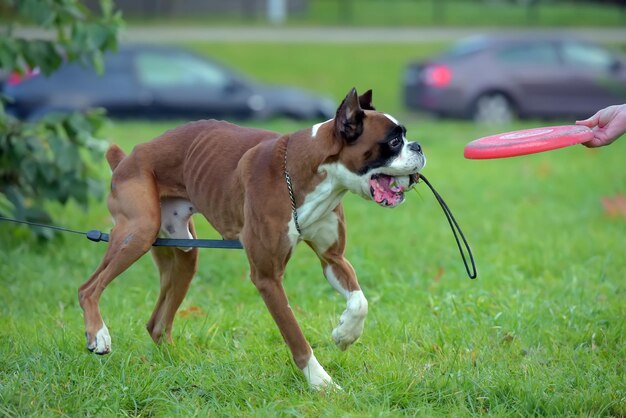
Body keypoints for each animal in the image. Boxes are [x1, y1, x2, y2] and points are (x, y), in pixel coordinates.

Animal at [75, 87, 422, 388]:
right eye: (393, 141)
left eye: (404, 138)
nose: (418, 146)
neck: (311, 172)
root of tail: (127, 158)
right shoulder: (267, 277)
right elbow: (295, 335)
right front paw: (321, 383)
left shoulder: (333, 259)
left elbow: (360, 300)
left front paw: (345, 334)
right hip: (138, 232)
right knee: (88, 288)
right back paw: (99, 335)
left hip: (184, 254)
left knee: (157, 323)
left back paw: (179, 366)